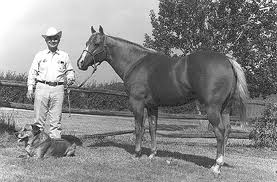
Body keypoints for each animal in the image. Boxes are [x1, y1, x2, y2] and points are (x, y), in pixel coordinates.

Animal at [76, 26, 248, 176]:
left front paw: (137, 154)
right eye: (86, 42)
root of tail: (227, 61)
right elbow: (153, 128)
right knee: (227, 130)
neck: (135, 63)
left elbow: (139, 128)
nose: (80, 63)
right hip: (225, 108)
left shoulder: (137, 104)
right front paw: (152, 154)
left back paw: (216, 166)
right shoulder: (152, 106)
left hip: (213, 108)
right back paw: (218, 163)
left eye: (96, 44)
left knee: (219, 132)